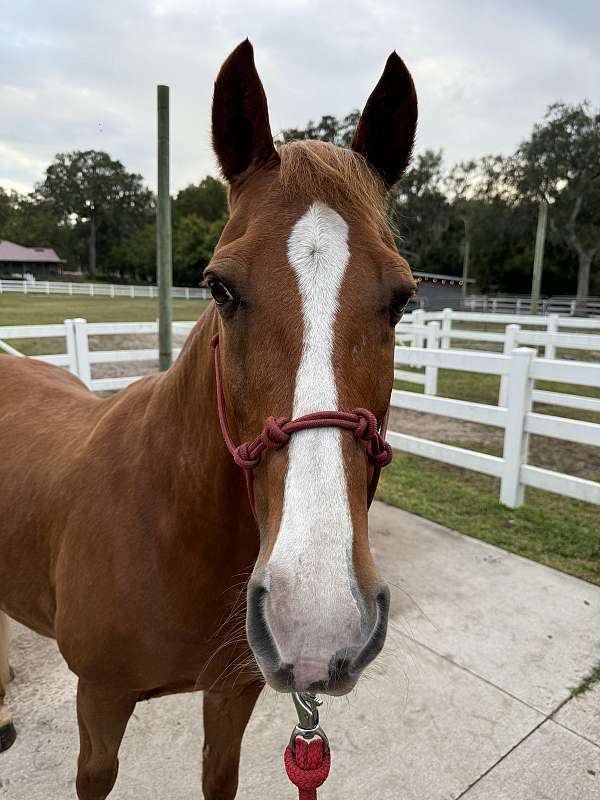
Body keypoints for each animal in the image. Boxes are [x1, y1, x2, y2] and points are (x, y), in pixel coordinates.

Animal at [0, 39, 418, 800]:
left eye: (403, 298)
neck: (165, 526)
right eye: (220, 287)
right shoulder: (98, 704)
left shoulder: (232, 696)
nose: (314, 616)